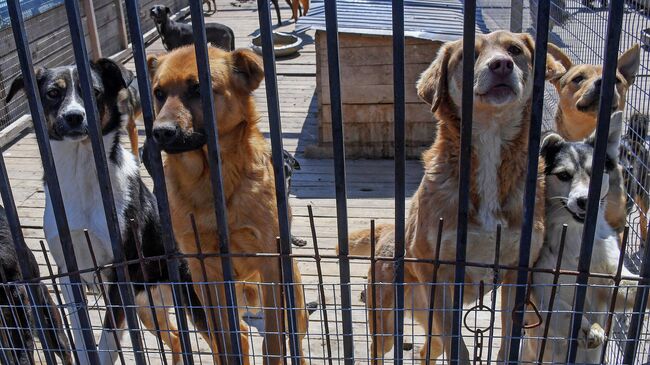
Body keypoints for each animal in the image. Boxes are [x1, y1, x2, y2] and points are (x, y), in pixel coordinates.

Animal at [147, 45, 308, 364]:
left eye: (198, 88)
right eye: (158, 93)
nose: (160, 132)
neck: (208, 182)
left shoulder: (271, 264)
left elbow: (274, 341)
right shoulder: (203, 274)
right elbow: (225, 338)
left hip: (294, 301)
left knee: (291, 338)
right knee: (239, 336)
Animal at [344, 30, 568, 362]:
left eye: (515, 50)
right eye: (468, 54)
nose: (501, 65)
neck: (489, 140)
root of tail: (386, 232)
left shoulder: (517, 272)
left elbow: (507, 341)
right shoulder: (437, 272)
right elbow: (458, 346)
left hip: (428, 323)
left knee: (427, 349)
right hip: (387, 322)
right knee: (381, 349)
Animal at [520, 111, 636, 364]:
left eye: (597, 174)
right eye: (564, 175)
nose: (585, 200)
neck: (573, 234)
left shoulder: (612, 278)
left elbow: (630, 286)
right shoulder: (543, 286)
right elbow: (564, 311)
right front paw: (587, 329)